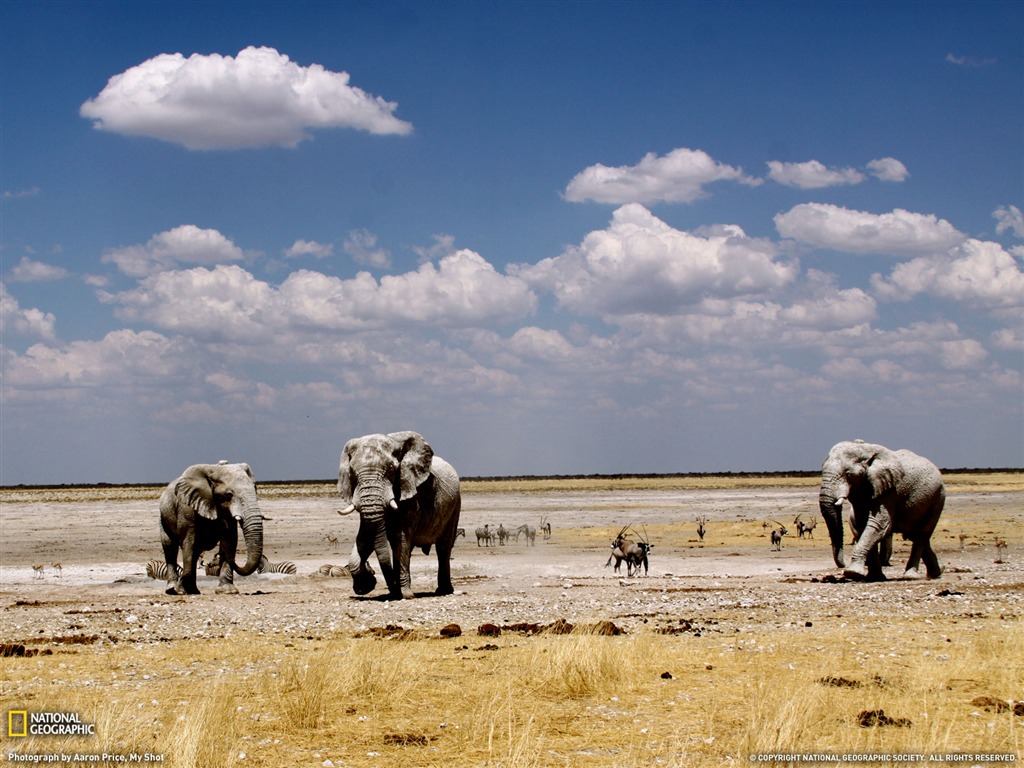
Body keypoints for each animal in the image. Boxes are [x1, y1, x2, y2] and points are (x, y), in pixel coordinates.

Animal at [158, 460, 264, 598]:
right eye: (229, 495)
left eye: (255, 489)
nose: (234, 561)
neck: (214, 470)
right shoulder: (186, 507)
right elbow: (189, 541)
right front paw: (180, 591)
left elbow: (229, 540)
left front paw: (227, 591)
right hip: (163, 517)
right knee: (170, 548)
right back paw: (172, 590)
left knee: (195, 552)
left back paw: (193, 590)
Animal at [337, 434, 462, 602]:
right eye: (353, 473)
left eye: (391, 470)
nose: (393, 591)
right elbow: (365, 537)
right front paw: (366, 586)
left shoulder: (410, 492)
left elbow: (400, 538)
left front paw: (406, 595)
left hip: (455, 505)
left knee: (443, 547)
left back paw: (443, 591)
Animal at [819, 442, 946, 581]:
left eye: (848, 474)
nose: (843, 564)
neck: (865, 450)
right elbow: (863, 525)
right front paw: (874, 577)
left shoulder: (889, 489)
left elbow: (879, 525)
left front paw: (852, 573)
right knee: (914, 534)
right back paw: (936, 573)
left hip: (937, 498)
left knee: (921, 534)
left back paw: (911, 576)